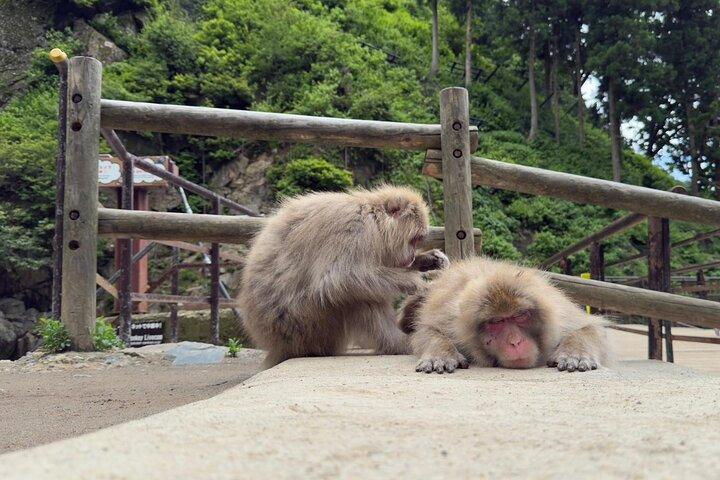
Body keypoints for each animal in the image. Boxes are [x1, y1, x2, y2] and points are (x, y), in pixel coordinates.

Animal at [238, 185, 449, 368]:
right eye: (414, 240)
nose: (412, 256)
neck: (374, 219)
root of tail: (275, 344)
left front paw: (429, 260)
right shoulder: (354, 229)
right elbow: (337, 278)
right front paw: (415, 282)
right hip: (304, 326)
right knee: (353, 296)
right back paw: (398, 343)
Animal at [401, 256, 613, 374]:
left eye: (520, 315)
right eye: (496, 321)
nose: (515, 342)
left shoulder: (561, 317)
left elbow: (591, 327)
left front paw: (574, 353)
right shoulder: (450, 320)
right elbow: (426, 330)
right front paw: (441, 354)